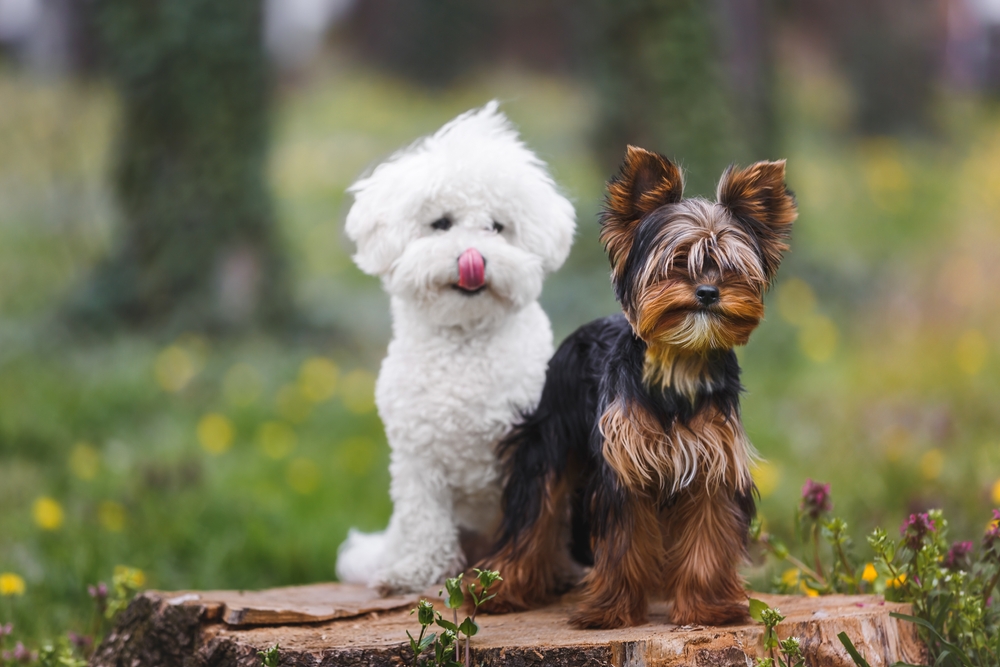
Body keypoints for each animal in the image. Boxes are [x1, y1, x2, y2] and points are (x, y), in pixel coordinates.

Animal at [334, 102, 576, 592]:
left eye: (497, 227)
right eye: (441, 223)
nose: (473, 258)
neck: (465, 341)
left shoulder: (532, 447)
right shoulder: (415, 458)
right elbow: (425, 517)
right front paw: (417, 572)